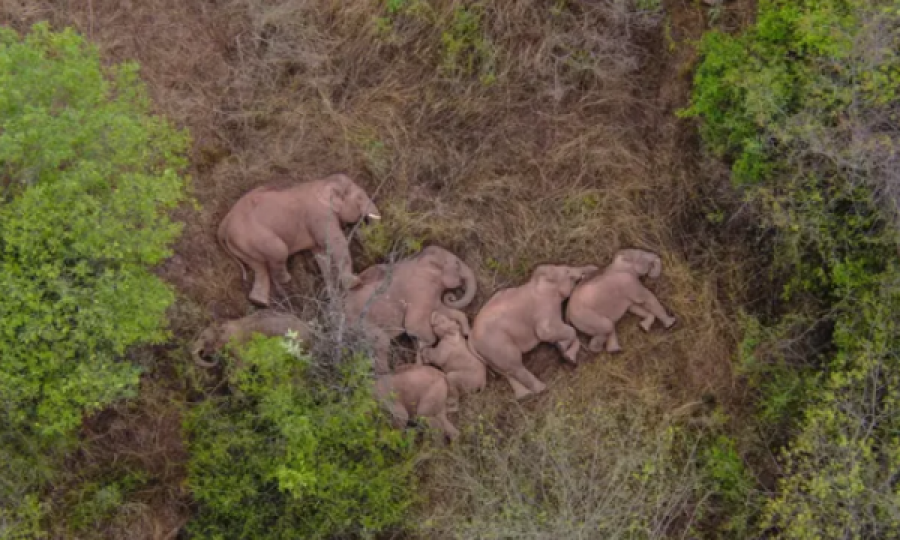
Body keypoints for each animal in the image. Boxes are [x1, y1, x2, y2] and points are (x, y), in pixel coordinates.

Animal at [217, 174, 380, 308]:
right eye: (360, 198)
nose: (361, 228)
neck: (322, 182)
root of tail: (224, 225)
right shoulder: (320, 216)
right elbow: (334, 243)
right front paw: (355, 283)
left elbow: (321, 254)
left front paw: (333, 297)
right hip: (255, 236)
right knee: (279, 252)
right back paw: (286, 282)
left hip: (242, 245)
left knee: (259, 267)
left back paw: (260, 303)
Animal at [342, 246, 478, 376]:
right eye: (457, 264)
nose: (451, 296)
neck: (419, 259)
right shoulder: (419, 290)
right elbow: (414, 326)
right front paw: (422, 350)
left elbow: (444, 310)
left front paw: (465, 333)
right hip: (363, 326)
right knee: (381, 343)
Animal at [468, 264, 600, 398]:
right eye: (567, 271)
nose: (594, 268)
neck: (538, 282)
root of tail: (471, 340)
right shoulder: (544, 308)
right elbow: (548, 332)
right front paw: (564, 350)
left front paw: (566, 353)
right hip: (497, 344)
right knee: (515, 365)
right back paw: (542, 389)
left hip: (489, 354)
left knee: (506, 371)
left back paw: (524, 395)